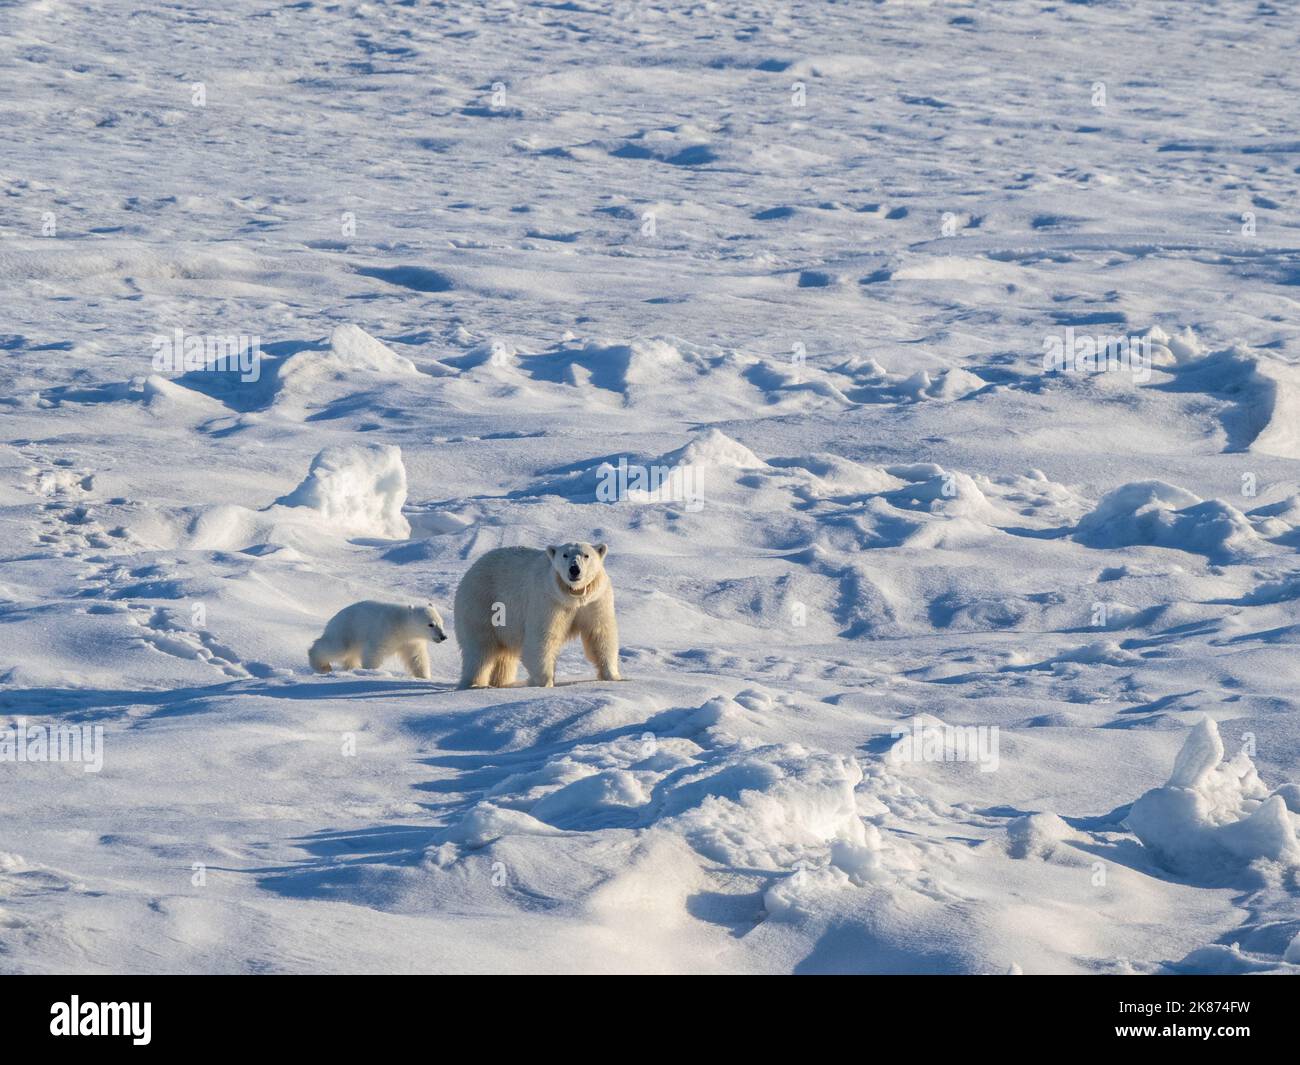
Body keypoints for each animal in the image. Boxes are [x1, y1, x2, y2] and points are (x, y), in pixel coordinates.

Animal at [308, 603, 447, 681]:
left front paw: (424, 677)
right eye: (431, 624)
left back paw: (352, 669)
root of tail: (334, 618)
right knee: (336, 647)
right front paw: (372, 673)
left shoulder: (412, 642)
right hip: (347, 630)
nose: (443, 636)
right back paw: (323, 666)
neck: (401, 624)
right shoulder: (384, 632)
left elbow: (417, 658)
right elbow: (373, 653)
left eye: (441, 623)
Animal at [454, 540, 621, 691]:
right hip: (482, 602)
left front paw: (613, 676)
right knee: (480, 649)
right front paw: (545, 682)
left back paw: (502, 682)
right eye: (565, 555)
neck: (573, 596)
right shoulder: (548, 600)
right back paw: (475, 684)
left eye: (586, 555)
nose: (574, 569)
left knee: (504, 656)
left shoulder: (595, 599)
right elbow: (541, 638)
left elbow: (599, 634)